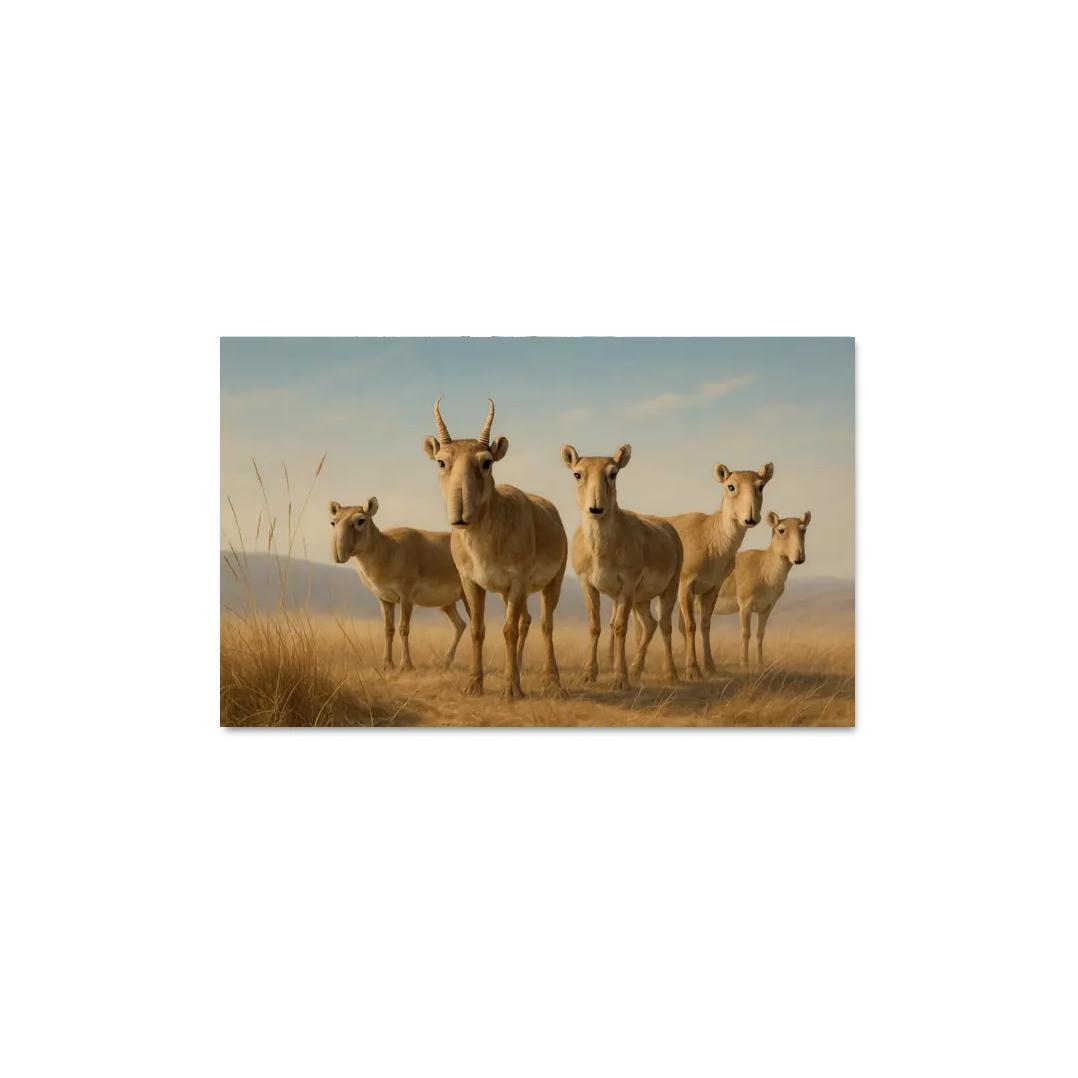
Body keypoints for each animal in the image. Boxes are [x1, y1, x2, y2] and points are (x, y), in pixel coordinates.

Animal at [329, 498, 467, 673]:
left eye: (360, 520)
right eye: (333, 522)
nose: (338, 554)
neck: (388, 550)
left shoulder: (406, 598)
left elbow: (403, 629)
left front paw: (406, 665)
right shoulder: (385, 600)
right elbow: (388, 630)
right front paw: (387, 664)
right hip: (447, 604)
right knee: (460, 625)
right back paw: (445, 662)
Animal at [422, 399, 568, 699]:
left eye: (486, 462)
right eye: (441, 461)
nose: (461, 512)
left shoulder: (517, 582)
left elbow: (508, 631)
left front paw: (511, 690)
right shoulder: (471, 582)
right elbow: (478, 629)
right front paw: (474, 685)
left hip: (551, 583)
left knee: (545, 624)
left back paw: (553, 681)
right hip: (506, 593)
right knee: (526, 619)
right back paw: (518, 671)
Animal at [562, 444, 682, 689]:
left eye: (613, 473)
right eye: (577, 474)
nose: (596, 508)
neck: (601, 552)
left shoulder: (626, 586)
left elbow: (619, 627)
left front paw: (620, 678)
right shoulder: (587, 584)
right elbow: (595, 625)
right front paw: (588, 674)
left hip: (668, 589)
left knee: (665, 625)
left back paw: (670, 673)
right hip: (641, 599)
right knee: (650, 624)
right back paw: (636, 669)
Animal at [666, 462, 774, 678]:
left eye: (761, 486)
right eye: (730, 486)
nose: (750, 518)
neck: (709, 537)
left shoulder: (711, 588)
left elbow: (705, 625)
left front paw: (709, 667)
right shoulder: (686, 585)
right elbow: (690, 625)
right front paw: (693, 670)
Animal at [715, 511, 811, 665]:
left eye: (803, 529)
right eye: (781, 530)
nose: (799, 558)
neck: (764, 569)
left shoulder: (766, 608)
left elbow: (760, 634)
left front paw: (760, 663)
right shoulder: (745, 606)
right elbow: (745, 633)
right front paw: (744, 663)